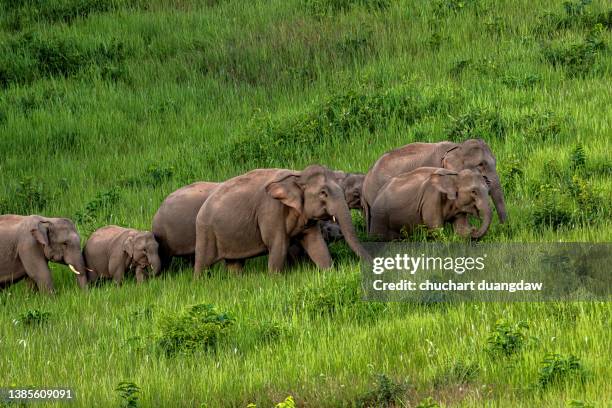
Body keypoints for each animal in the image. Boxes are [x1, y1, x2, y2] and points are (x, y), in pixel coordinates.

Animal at [194, 164, 370, 276]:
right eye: (323, 193)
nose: (370, 263)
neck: (297, 175)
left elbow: (316, 244)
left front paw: (329, 272)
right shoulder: (270, 210)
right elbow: (278, 245)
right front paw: (275, 280)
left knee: (234, 263)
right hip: (205, 232)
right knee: (202, 263)